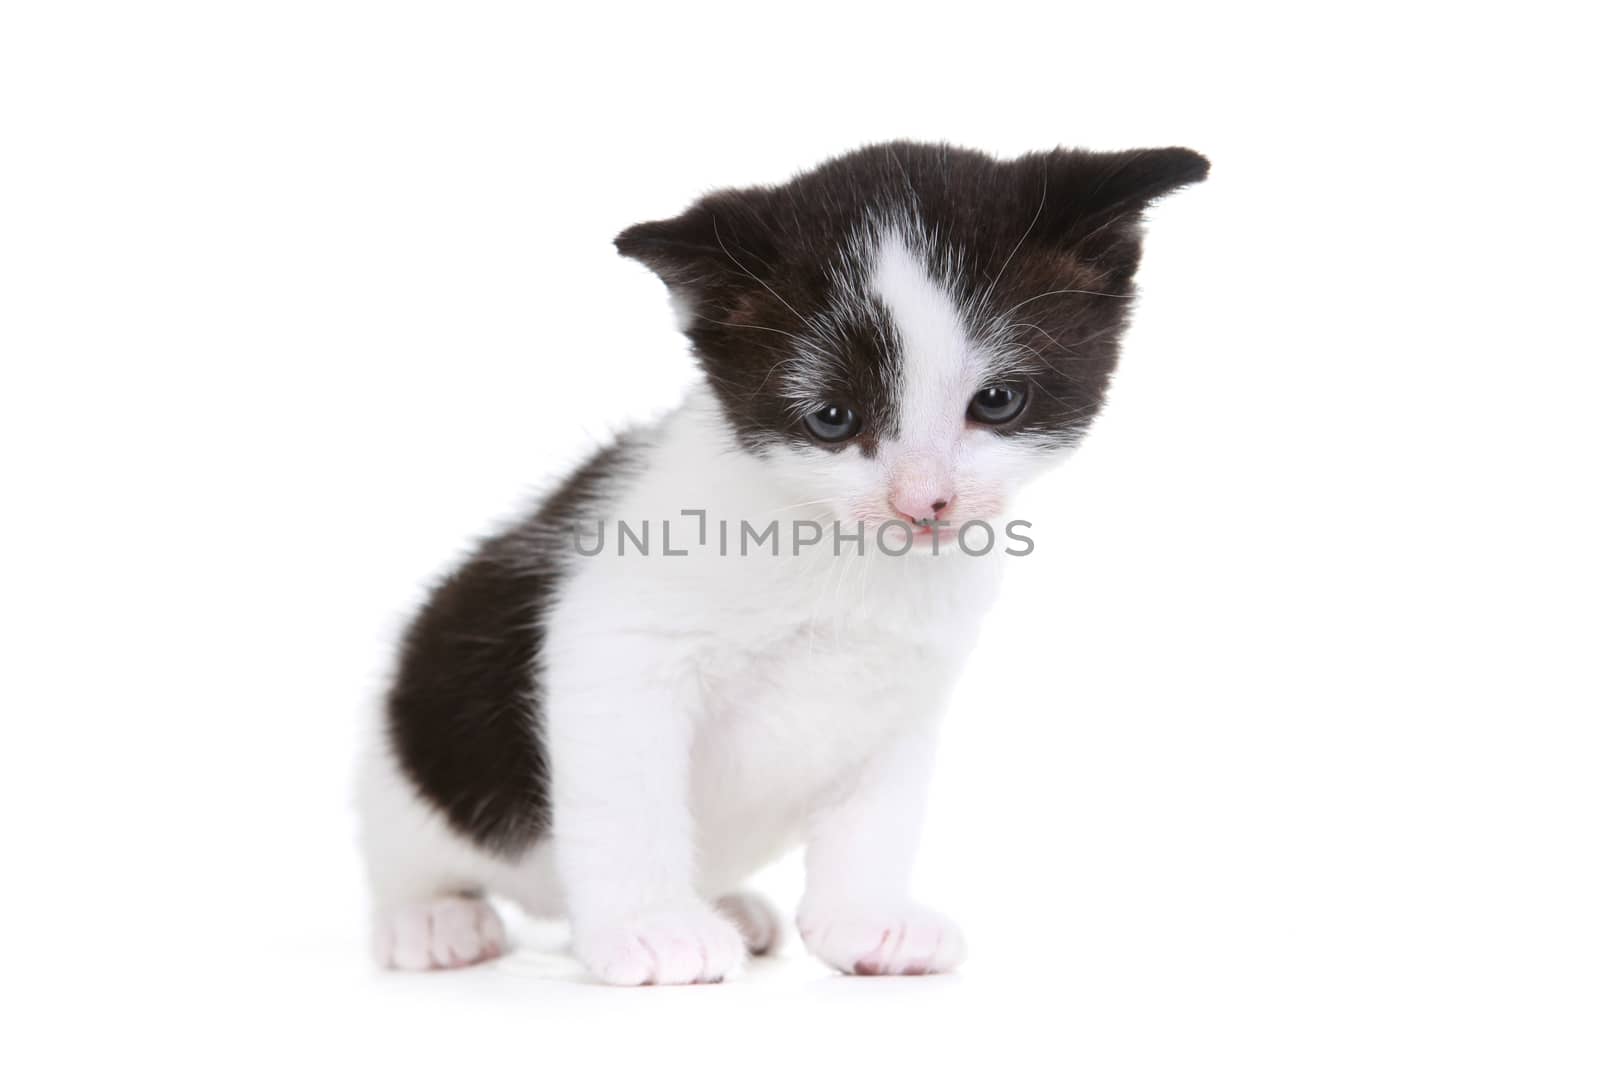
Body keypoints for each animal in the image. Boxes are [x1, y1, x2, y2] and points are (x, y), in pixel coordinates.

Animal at [356, 141, 1203, 985]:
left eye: (997, 401)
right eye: (832, 419)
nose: (923, 500)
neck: (840, 553)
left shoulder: (906, 682)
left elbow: (879, 813)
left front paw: (867, 919)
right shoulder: (615, 646)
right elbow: (625, 795)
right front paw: (650, 927)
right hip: (423, 741)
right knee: (409, 855)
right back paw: (433, 920)